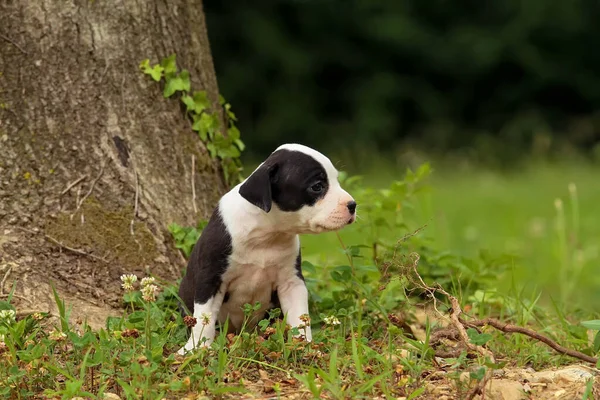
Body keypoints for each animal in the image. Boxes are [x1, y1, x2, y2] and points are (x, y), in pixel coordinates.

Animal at [178, 143, 356, 354]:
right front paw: (194, 349)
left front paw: (304, 347)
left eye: (336, 179)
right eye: (317, 186)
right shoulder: (211, 278)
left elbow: (299, 317)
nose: (353, 205)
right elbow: (203, 317)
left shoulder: (291, 282)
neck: (267, 234)